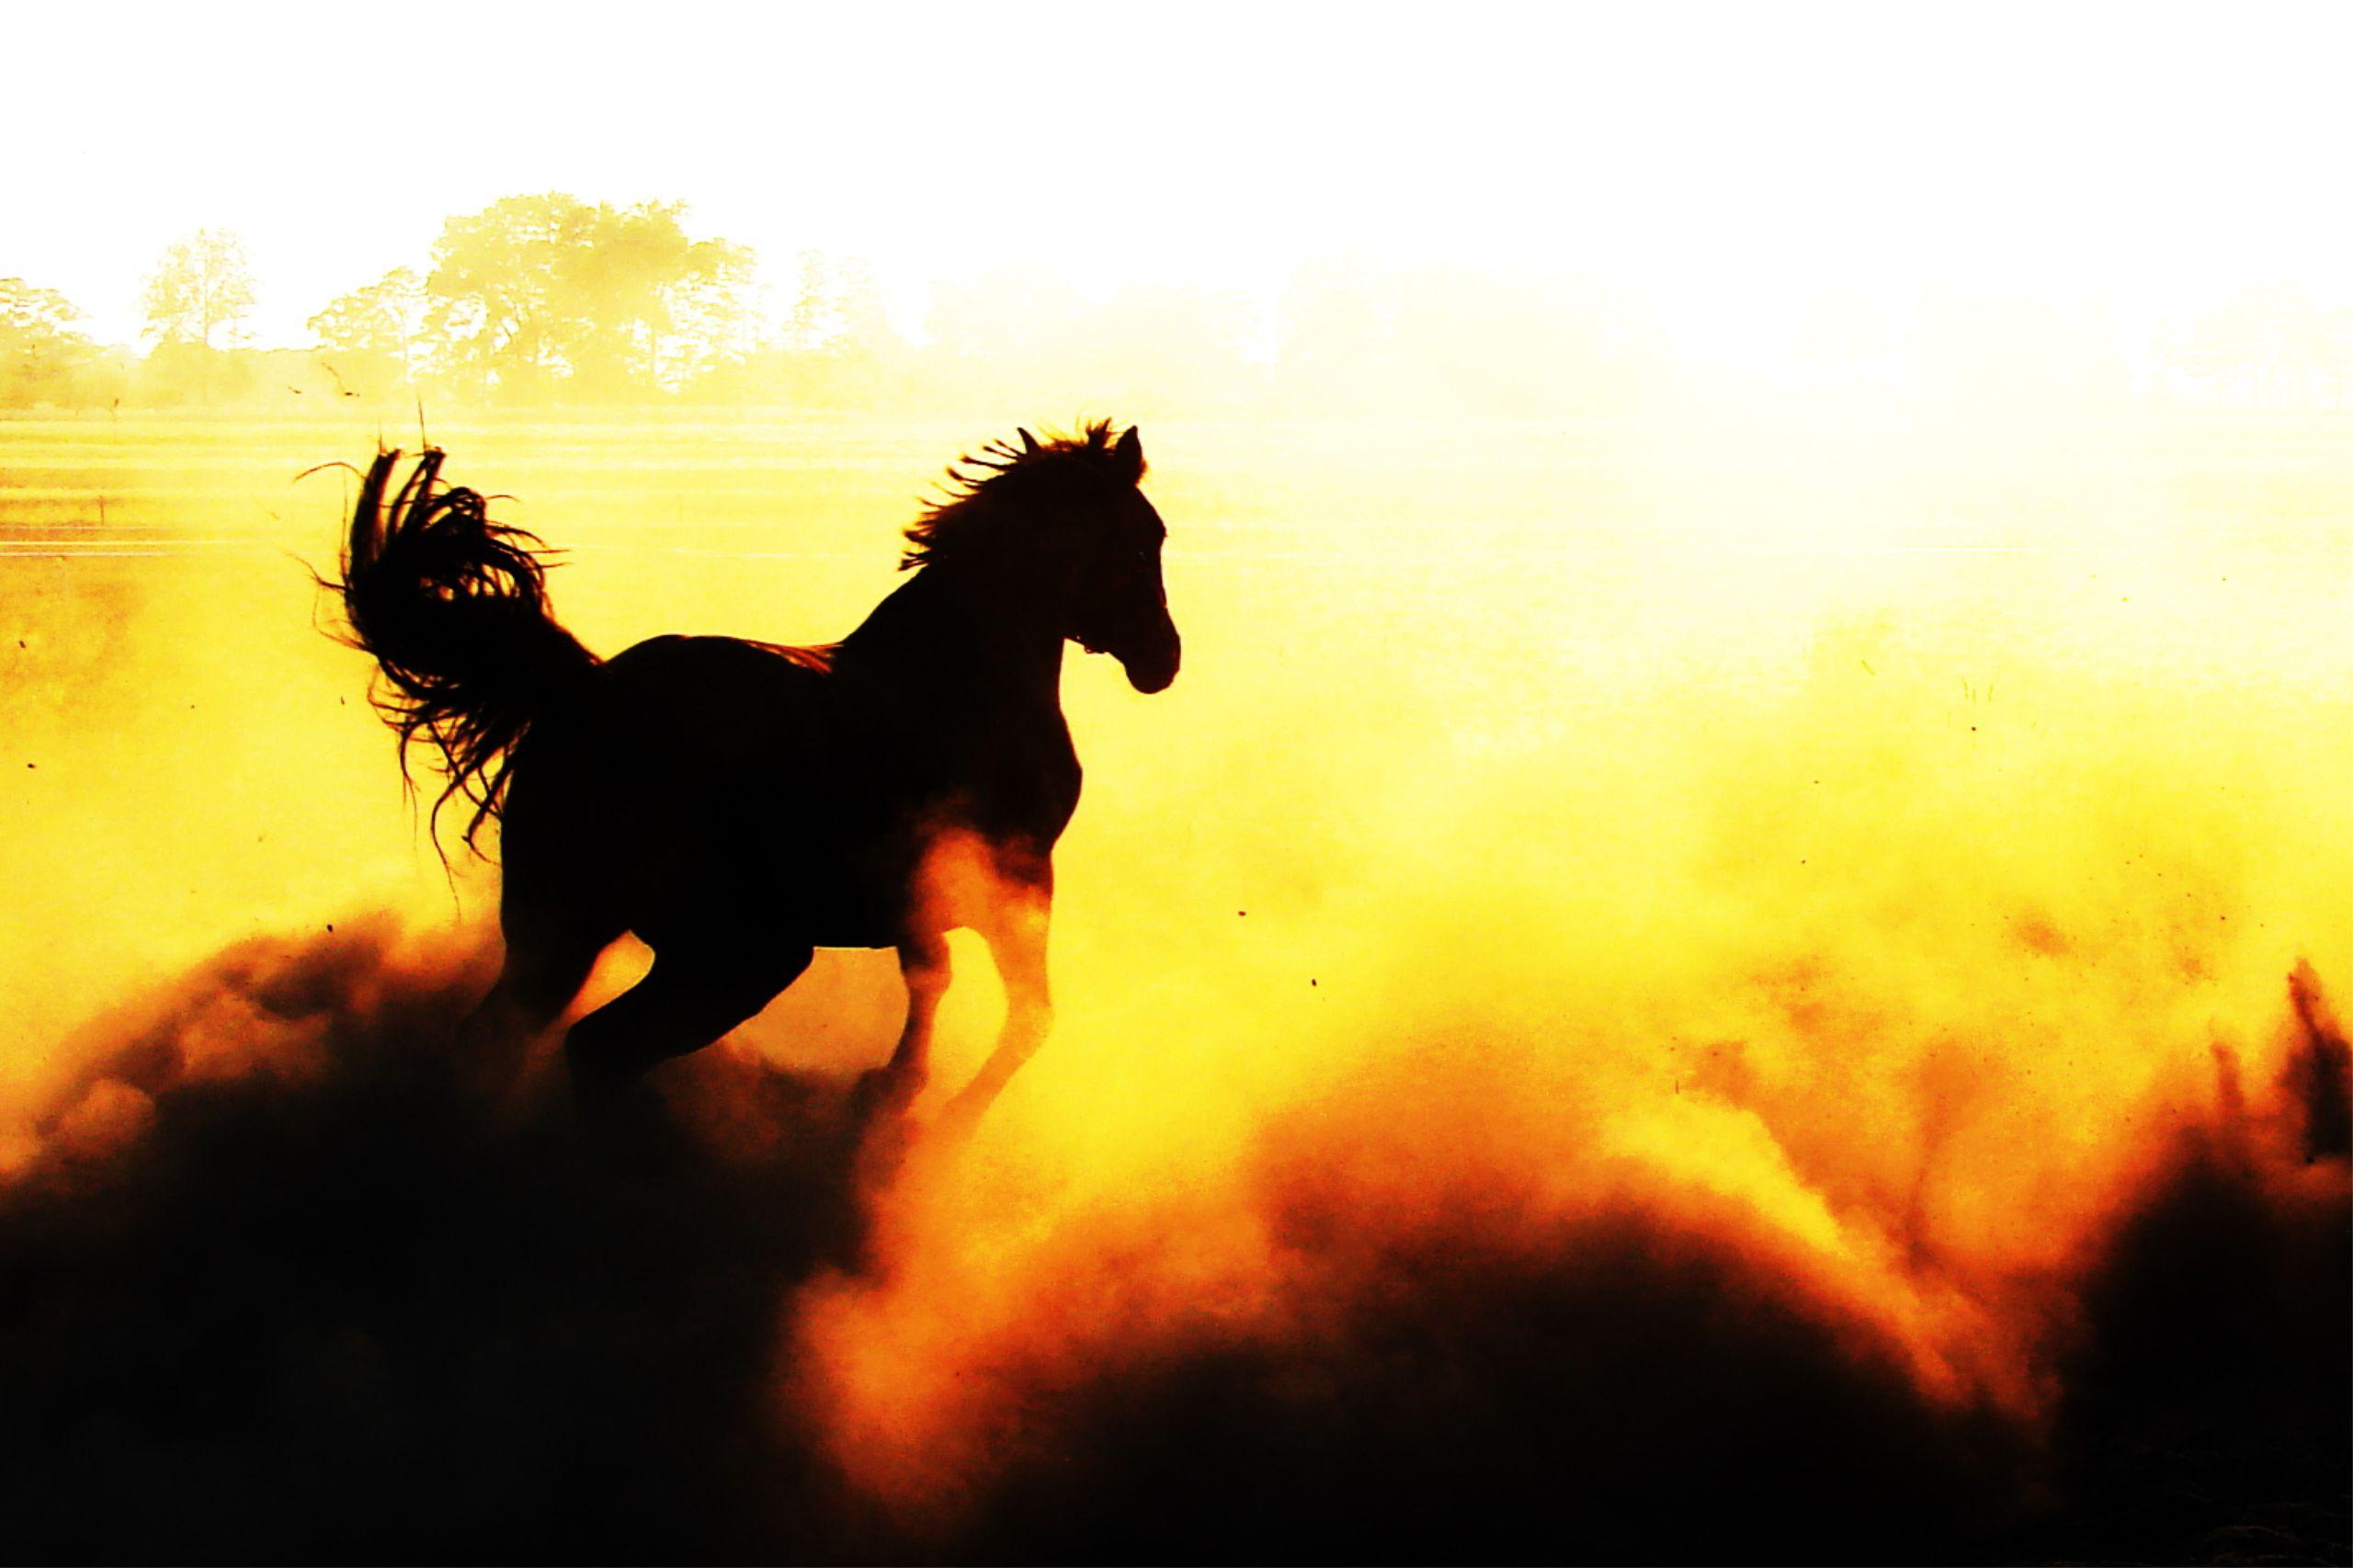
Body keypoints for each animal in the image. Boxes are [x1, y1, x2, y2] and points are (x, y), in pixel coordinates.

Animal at [333, 421, 1179, 1125]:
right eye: (1143, 538)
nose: (1162, 659)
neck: (960, 673)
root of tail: (586, 692)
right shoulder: (1015, 882)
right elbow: (1026, 1018)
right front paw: (931, 1116)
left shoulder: (920, 900)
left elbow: (931, 982)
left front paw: (890, 1094)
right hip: (741, 951)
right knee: (600, 1048)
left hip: (561, 932)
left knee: (500, 1042)